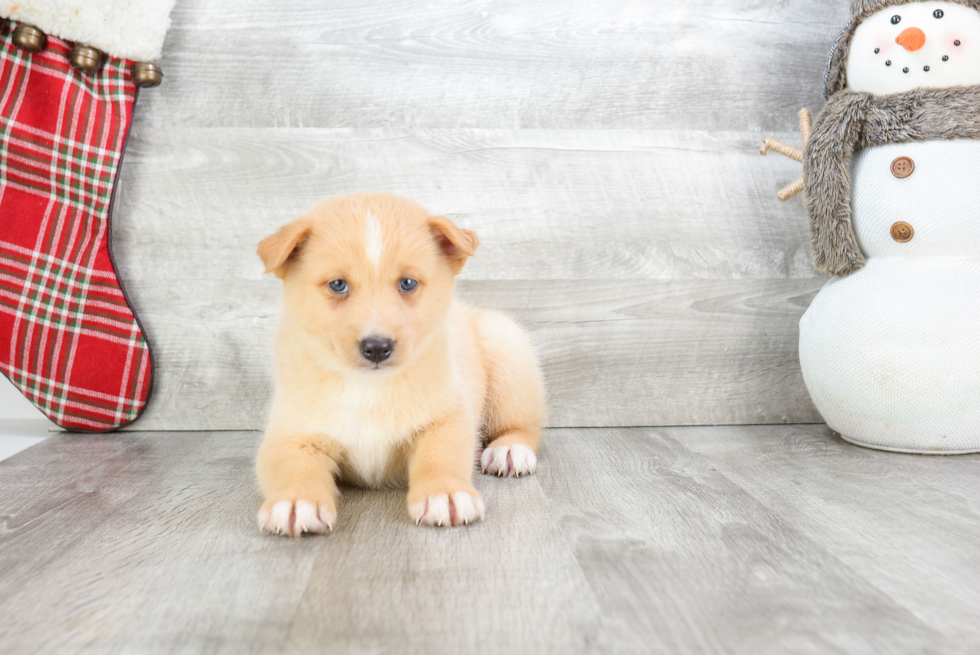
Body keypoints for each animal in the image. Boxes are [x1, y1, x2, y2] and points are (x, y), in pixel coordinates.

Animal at [255, 192, 544, 536]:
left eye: (407, 283)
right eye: (338, 285)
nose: (377, 348)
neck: (367, 386)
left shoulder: (446, 416)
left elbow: (440, 456)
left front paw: (444, 494)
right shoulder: (291, 433)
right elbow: (293, 468)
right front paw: (298, 502)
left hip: (505, 345)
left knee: (522, 425)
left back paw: (509, 450)